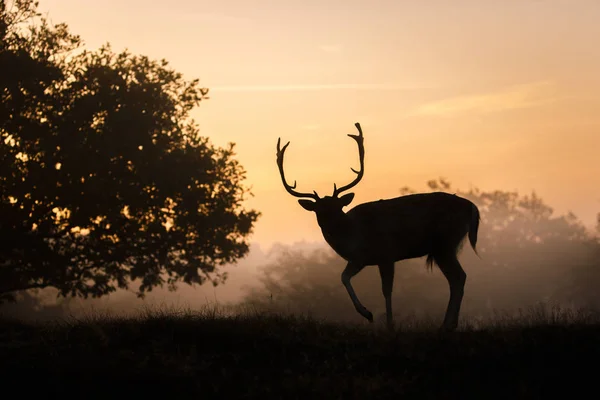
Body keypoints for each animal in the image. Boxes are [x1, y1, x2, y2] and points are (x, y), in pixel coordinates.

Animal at [274, 122, 480, 332]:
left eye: (338, 207)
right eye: (318, 210)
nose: (331, 226)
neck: (355, 235)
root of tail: (472, 208)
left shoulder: (386, 253)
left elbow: (386, 290)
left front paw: (387, 323)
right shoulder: (360, 259)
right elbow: (343, 277)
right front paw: (367, 313)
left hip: (444, 243)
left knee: (459, 277)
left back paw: (447, 325)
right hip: (443, 247)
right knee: (457, 278)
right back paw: (449, 324)